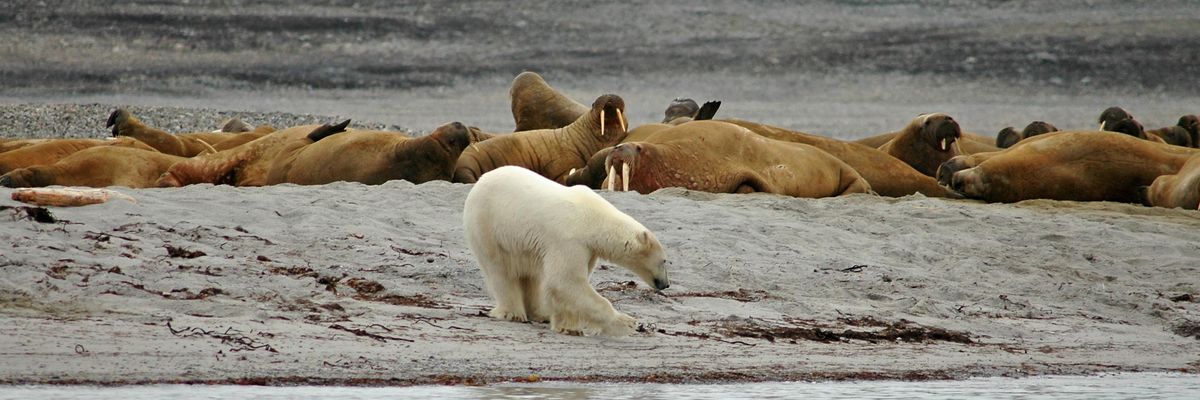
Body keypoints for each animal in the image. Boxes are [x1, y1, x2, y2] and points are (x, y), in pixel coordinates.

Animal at [462, 165, 670, 336]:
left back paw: (540, 313)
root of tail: (480, 181)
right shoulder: (568, 239)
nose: (666, 284)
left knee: (533, 276)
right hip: (488, 227)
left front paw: (567, 326)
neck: (593, 219)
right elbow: (566, 281)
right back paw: (513, 313)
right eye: (664, 261)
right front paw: (626, 323)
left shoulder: (587, 248)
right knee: (500, 270)